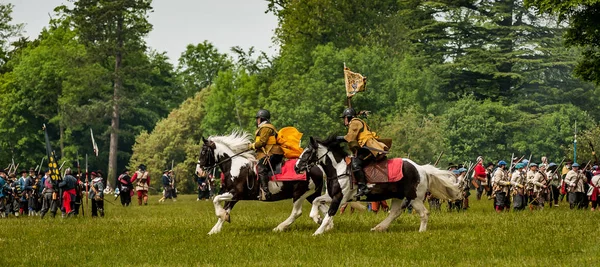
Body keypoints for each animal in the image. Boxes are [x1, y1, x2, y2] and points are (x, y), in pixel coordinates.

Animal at [296, 137, 460, 236]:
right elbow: (316, 200)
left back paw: (421, 231)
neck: (338, 169)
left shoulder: (339, 198)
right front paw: (316, 217)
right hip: (398, 197)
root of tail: (421, 169)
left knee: (424, 213)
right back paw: (378, 227)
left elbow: (329, 214)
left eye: (308, 152)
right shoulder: (333, 196)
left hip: (414, 198)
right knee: (395, 213)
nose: (297, 168)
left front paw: (318, 231)